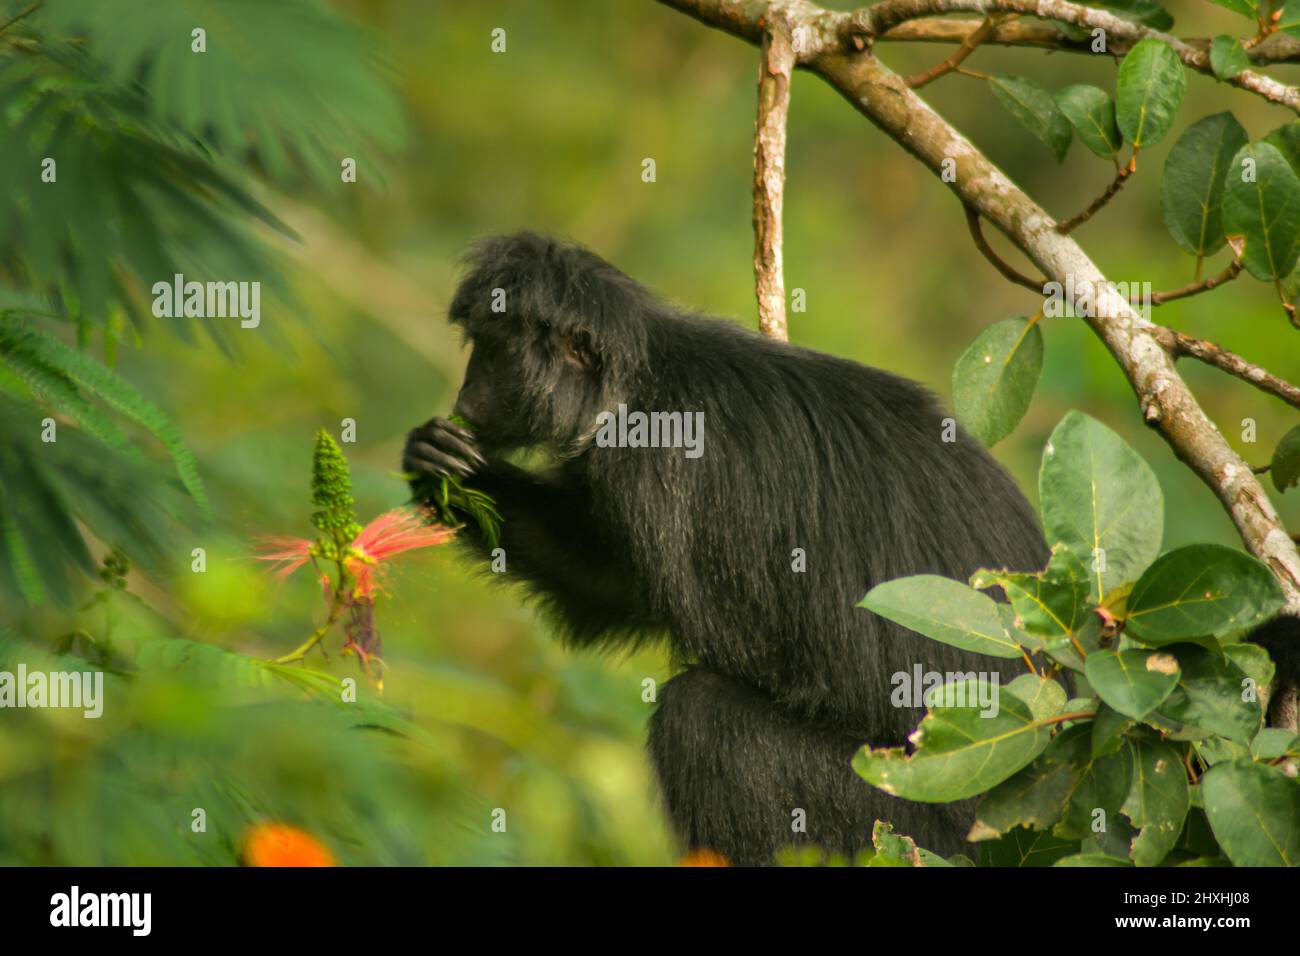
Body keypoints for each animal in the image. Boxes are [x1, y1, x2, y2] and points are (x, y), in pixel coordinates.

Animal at [402, 231, 1053, 865]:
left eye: (493, 354)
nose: (465, 399)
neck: (642, 384)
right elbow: (611, 580)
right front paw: (447, 468)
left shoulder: (655, 467)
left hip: (909, 830)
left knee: (706, 719)